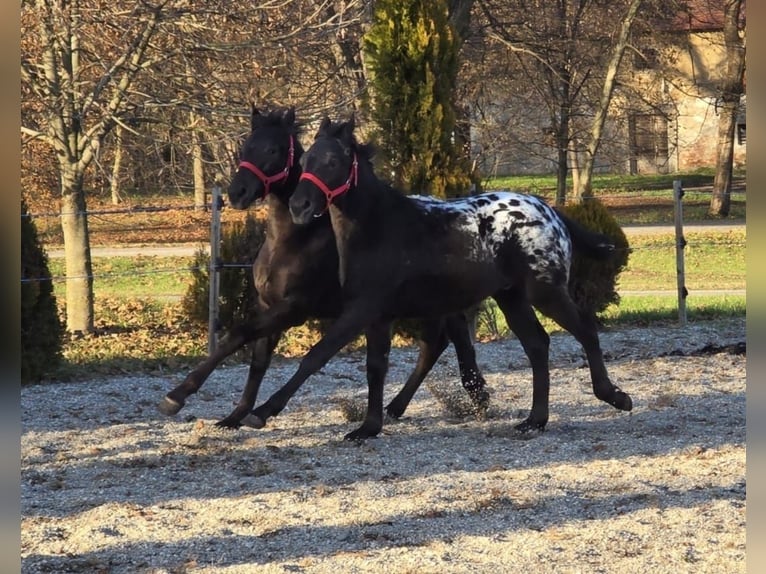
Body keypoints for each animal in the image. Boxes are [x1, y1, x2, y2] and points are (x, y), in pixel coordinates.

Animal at [158, 107, 490, 432]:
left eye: (274, 149)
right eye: (246, 147)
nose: (238, 192)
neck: (293, 240)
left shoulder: (295, 308)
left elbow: (241, 334)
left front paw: (178, 396)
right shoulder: (269, 304)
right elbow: (258, 360)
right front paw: (234, 416)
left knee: (448, 340)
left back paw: (470, 398)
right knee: (438, 343)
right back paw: (402, 407)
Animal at [239, 115, 632, 439]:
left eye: (333, 162)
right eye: (305, 161)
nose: (300, 206)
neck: (379, 228)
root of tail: (550, 211)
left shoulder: (359, 311)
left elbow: (316, 356)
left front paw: (262, 411)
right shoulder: (377, 316)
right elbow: (375, 367)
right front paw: (369, 427)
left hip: (545, 292)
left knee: (585, 330)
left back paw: (614, 396)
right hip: (511, 298)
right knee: (537, 345)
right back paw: (535, 420)